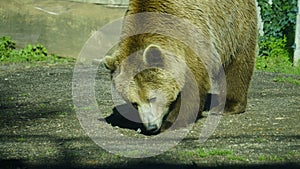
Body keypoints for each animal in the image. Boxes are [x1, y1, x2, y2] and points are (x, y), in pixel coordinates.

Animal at [103, 0, 258, 135]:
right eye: (134, 103)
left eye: (152, 98)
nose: (151, 127)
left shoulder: (191, 38)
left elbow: (193, 84)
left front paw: (170, 121)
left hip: (233, 22)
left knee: (238, 61)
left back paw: (228, 105)